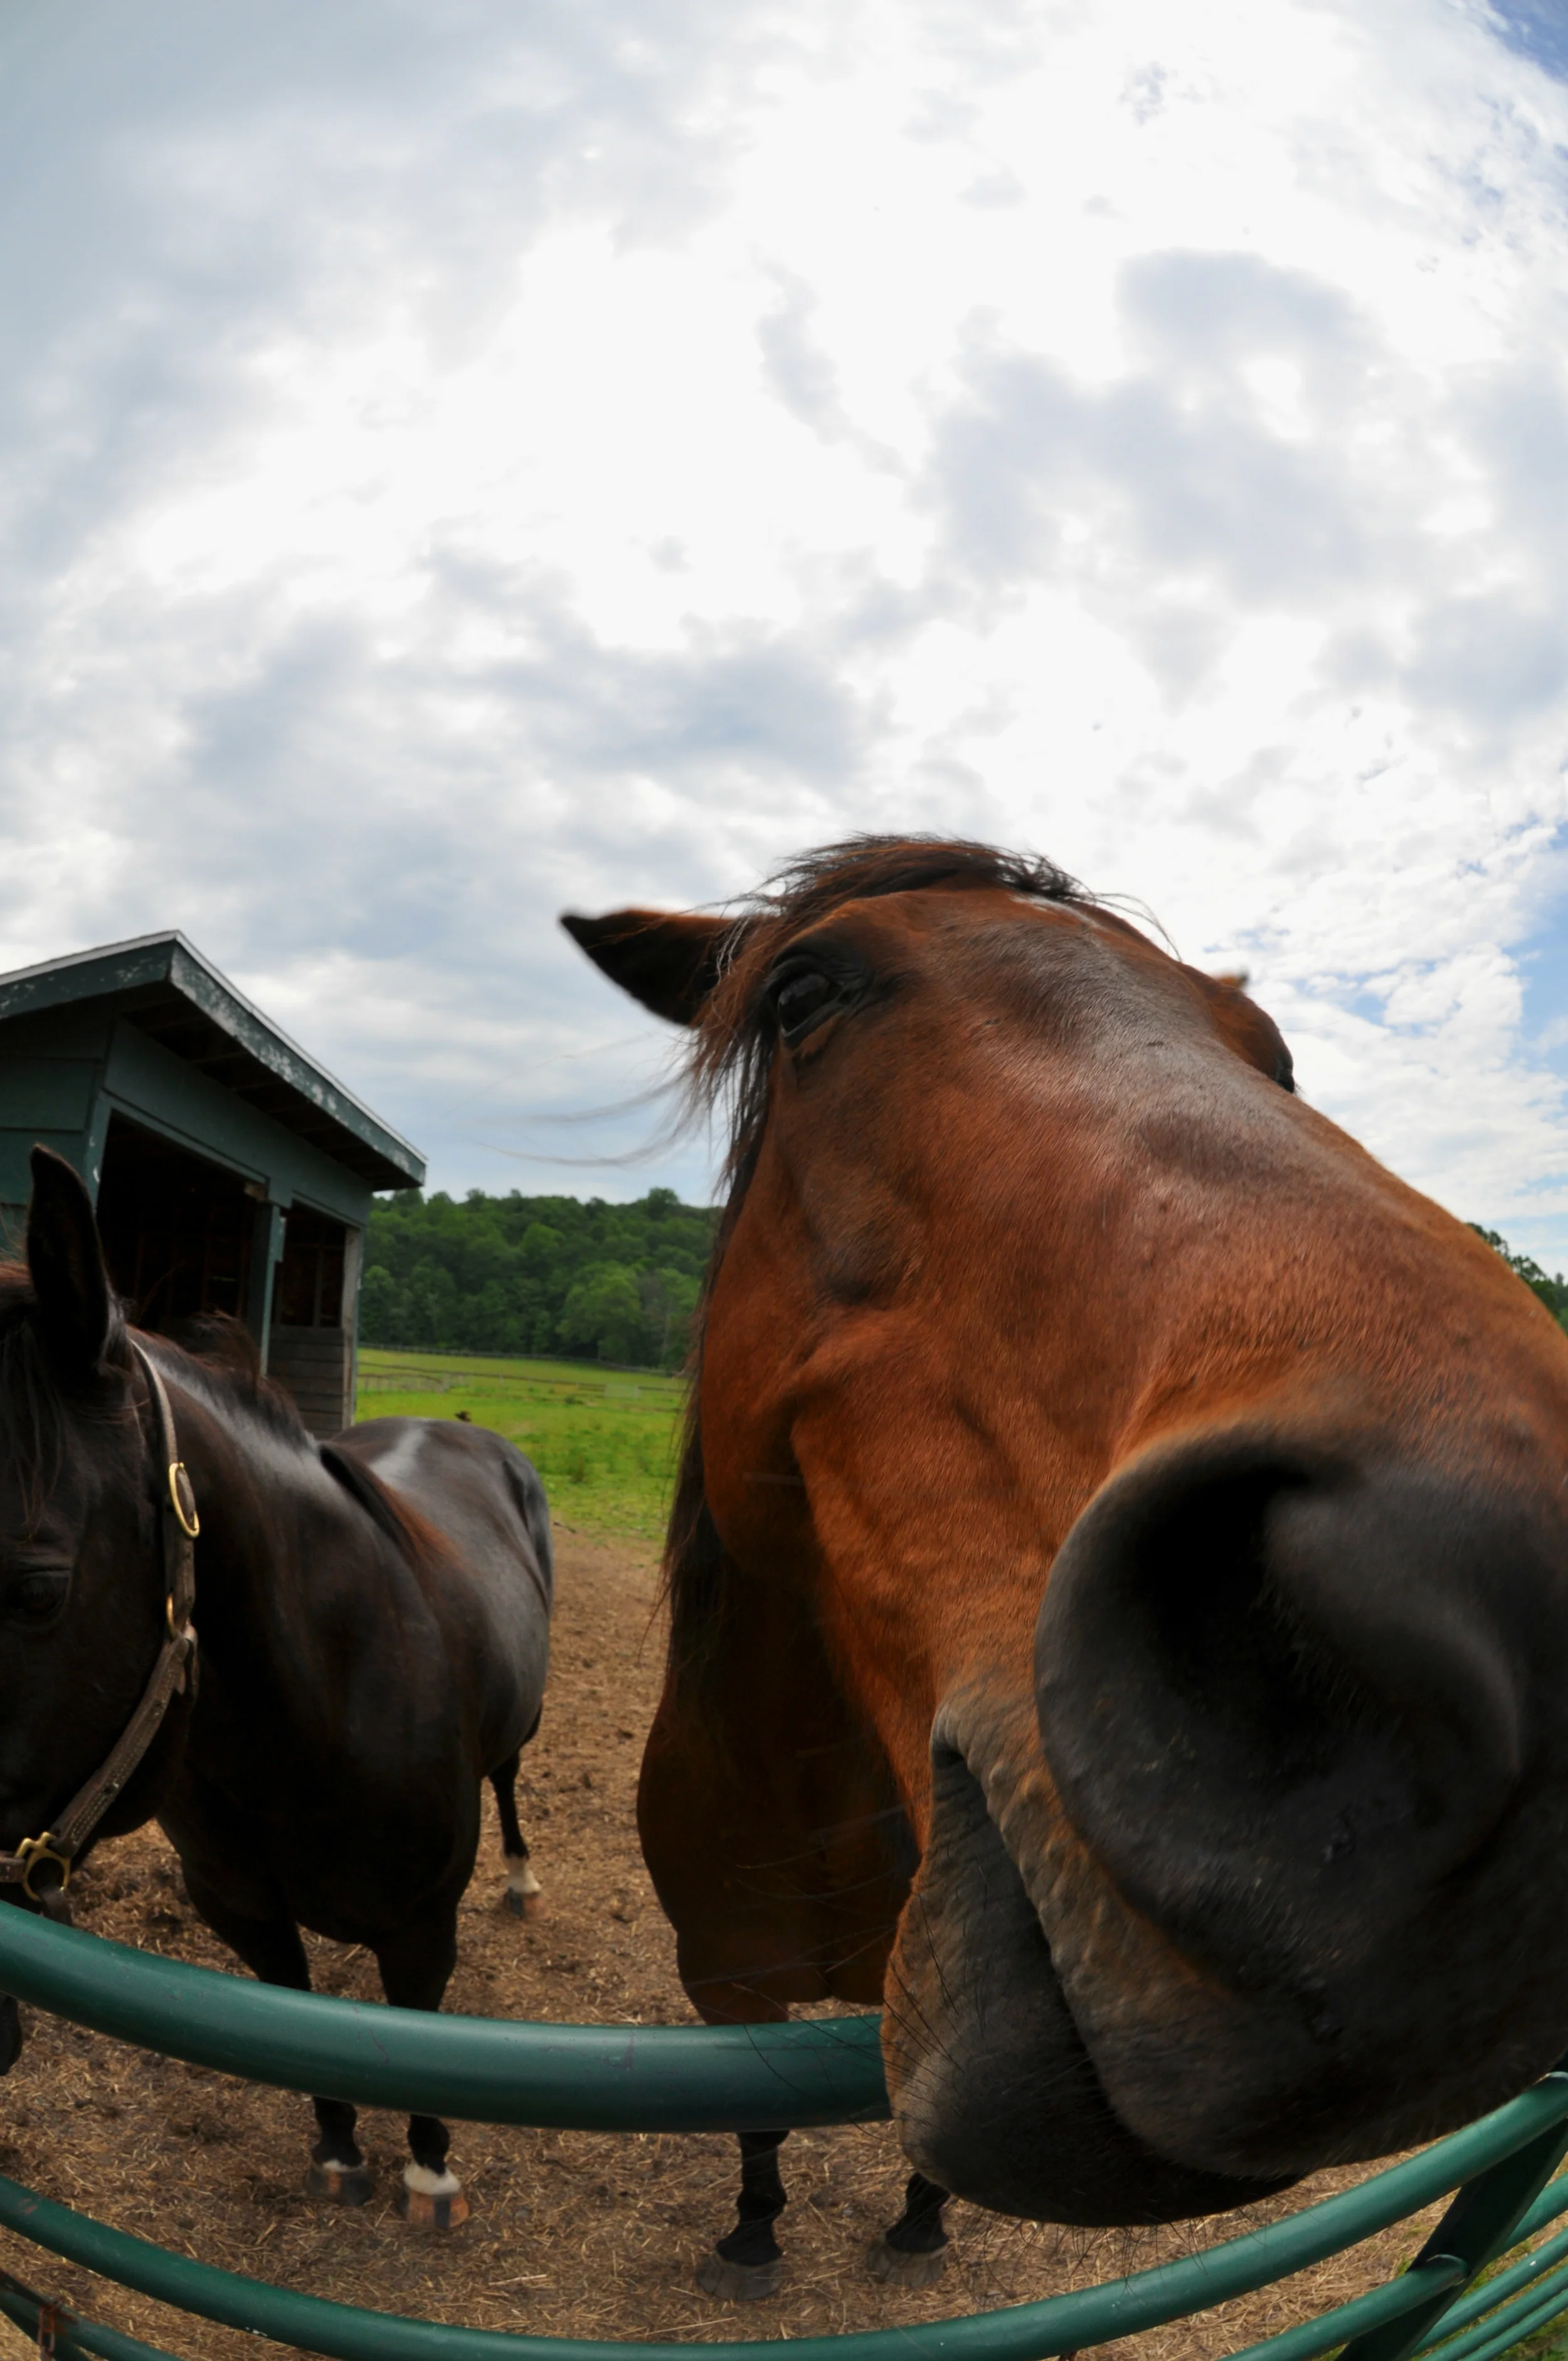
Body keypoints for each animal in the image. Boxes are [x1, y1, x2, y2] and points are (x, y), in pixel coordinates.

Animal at [0, 1146, 552, 2229]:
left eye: (38, 1588)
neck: (319, 1711)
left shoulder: (422, 1925)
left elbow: (419, 2043)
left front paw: (431, 2173)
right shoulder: (240, 1907)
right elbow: (300, 2022)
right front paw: (338, 2148)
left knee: (509, 1777)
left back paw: (519, 1878)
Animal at [564, 833, 1568, 2300]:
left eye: (1272, 1055)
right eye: (801, 996)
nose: (1507, 1597)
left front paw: (919, 2223)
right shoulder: (727, 1989)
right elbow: (755, 2126)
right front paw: (752, 2231)